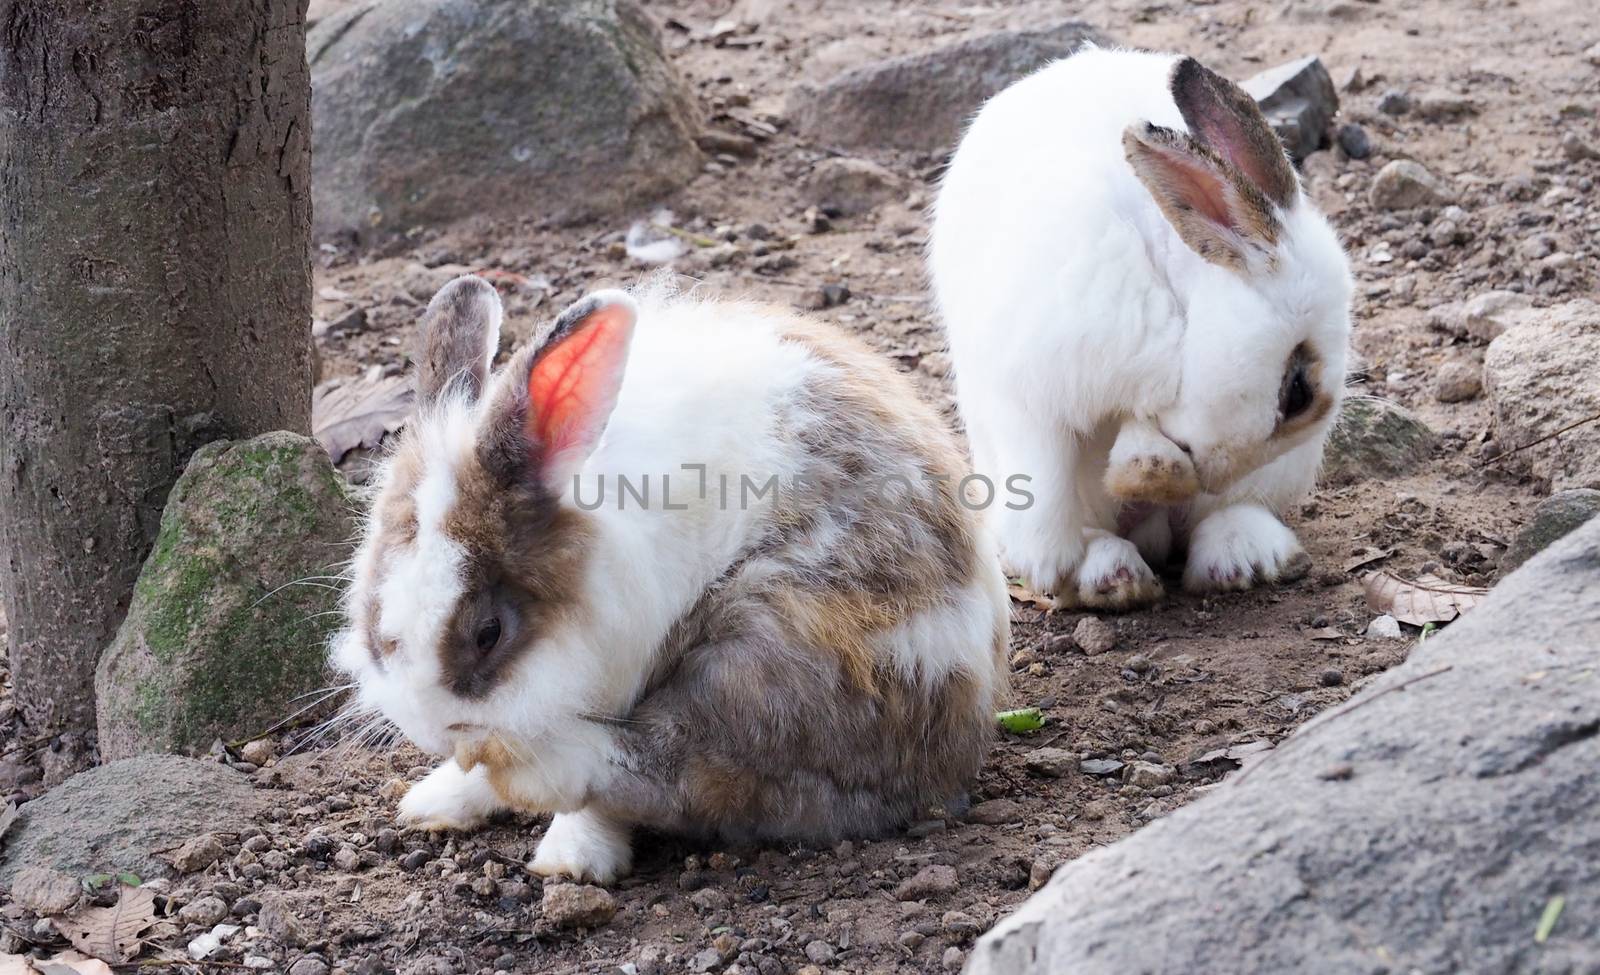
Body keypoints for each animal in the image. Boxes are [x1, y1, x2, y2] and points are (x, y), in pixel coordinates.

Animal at [331, 272, 1004, 883]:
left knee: (675, 769)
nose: (428, 728)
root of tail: (958, 744)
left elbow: (614, 787)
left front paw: (576, 858)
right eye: (370, 616)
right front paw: (440, 797)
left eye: (489, 632)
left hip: (778, 654)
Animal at [928, 49, 1350, 608]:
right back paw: (1111, 574)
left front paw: (1152, 473)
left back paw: (1237, 558)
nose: (1210, 479)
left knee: (1227, 517)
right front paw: (1049, 568)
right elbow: (1044, 484)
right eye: (1299, 393)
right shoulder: (1029, 393)